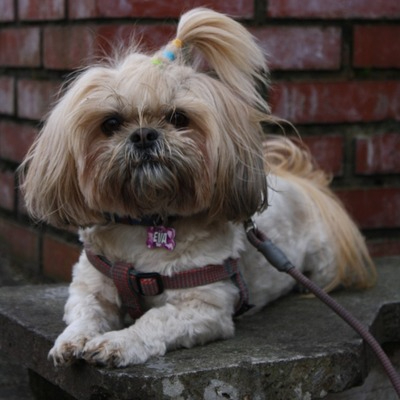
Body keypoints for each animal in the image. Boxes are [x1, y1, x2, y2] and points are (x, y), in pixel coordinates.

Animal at [19, 7, 376, 368]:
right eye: (111, 123)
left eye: (178, 118)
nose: (144, 134)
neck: (148, 222)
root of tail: (300, 179)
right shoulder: (90, 286)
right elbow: (85, 314)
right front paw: (71, 341)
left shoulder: (202, 307)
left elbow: (153, 320)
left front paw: (117, 342)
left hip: (322, 260)